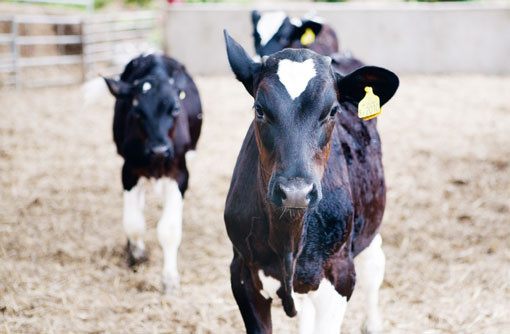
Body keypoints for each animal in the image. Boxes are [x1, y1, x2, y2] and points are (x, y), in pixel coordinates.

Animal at [104, 53, 202, 290]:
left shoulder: (180, 173)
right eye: (137, 111)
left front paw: (169, 278)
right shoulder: (128, 170)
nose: (159, 149)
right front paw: (137, 253)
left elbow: (169, 229)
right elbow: (133, 222)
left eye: (175, 108)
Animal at [223, 30, 398, 332]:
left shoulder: (339, 274)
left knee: (374, 265)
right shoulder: (242, 270)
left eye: (333, 111)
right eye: (259, 109)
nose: (295, 191)